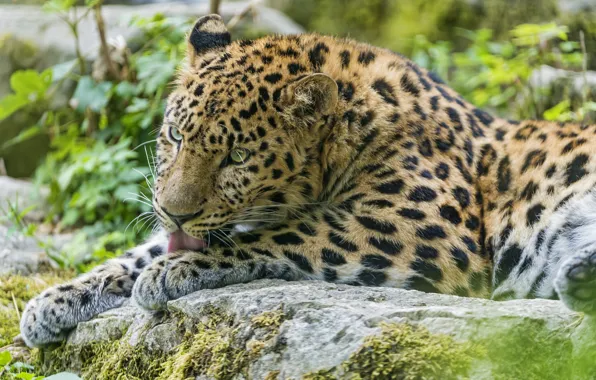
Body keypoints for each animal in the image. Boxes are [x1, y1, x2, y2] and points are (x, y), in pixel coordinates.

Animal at [18, 14, 596, 348]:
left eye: (237, 156)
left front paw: (172, 272)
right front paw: (55, 300)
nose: (175, 211)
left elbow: (288, 234)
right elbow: (139, 252)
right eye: (176, 136)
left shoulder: (423, 228)